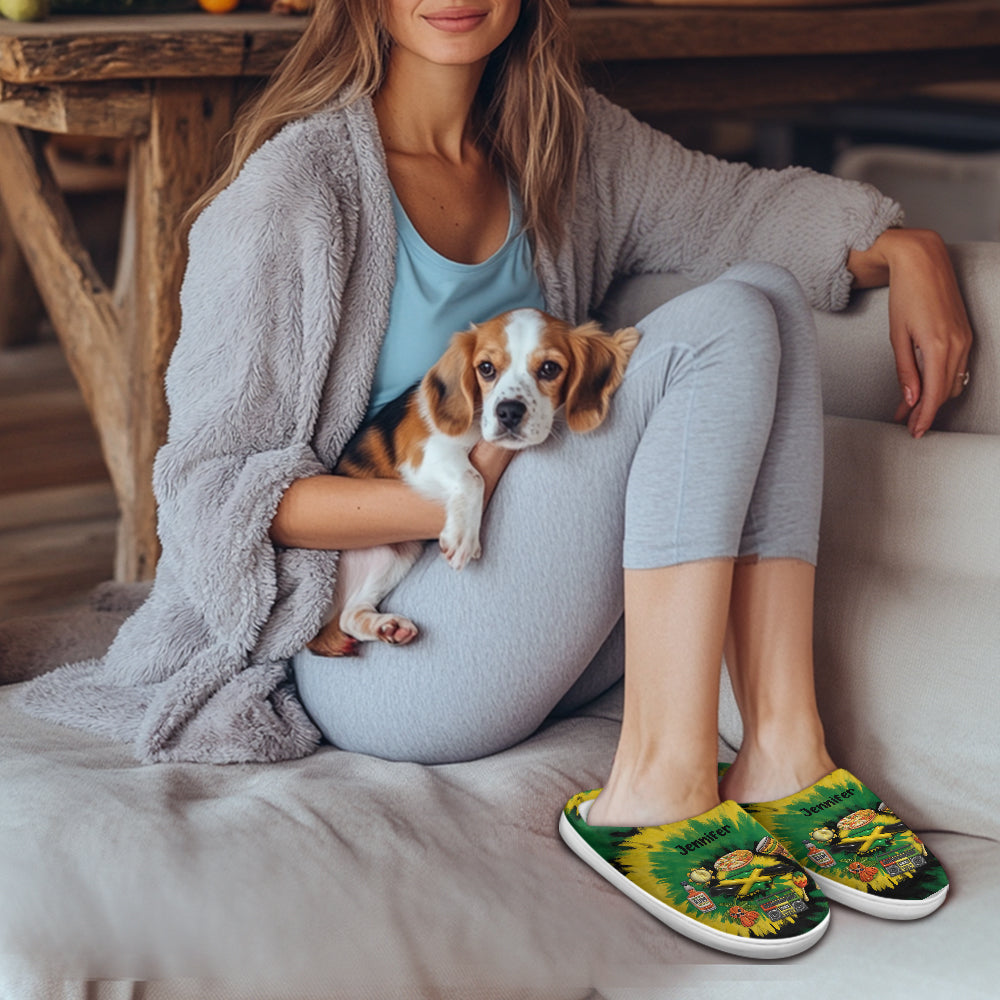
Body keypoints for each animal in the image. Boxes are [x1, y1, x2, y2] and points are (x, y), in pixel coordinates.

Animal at [304, 308, 644, 660]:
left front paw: (623, 340)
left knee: (351, 615)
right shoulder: (425, 453)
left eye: (550, 368)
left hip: (395, 555)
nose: (508, 412)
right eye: (486, 368)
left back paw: (386, 626)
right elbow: (473, 476)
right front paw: (464, 537)